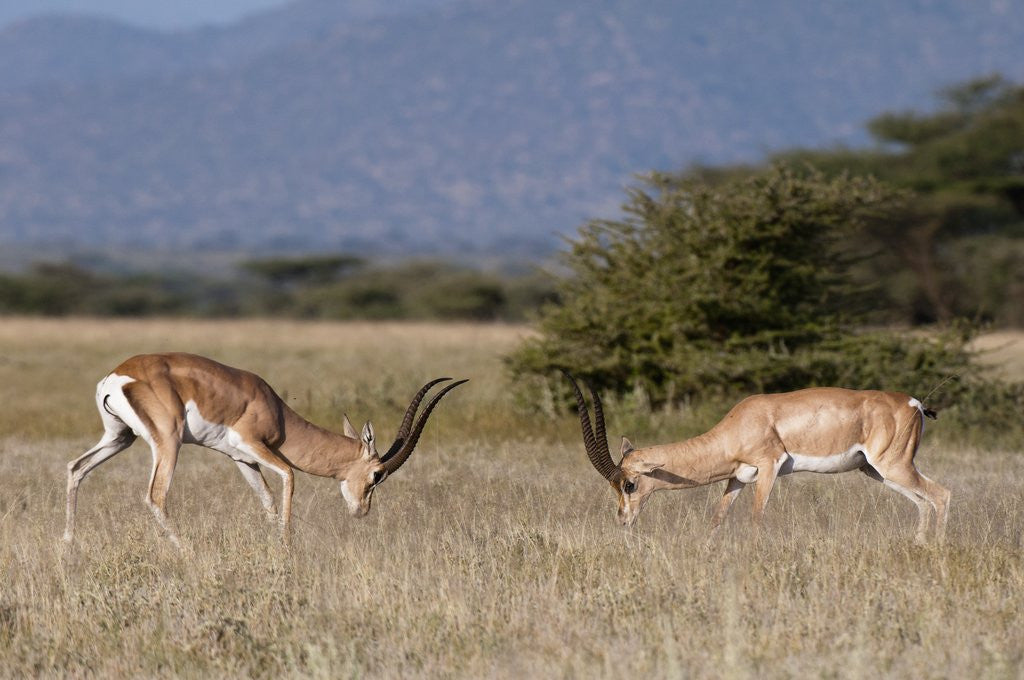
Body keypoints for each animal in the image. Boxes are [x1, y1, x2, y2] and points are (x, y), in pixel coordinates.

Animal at [64, 352, 466, 546]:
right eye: (377, 474)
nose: (361, 512)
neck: (276, 411)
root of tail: (118, 376)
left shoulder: (242, 459)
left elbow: (267, 501)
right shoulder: (251, 444)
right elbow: (289, 477)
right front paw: (287, 549)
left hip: (119, 437)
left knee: (75, 468)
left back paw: (68, 547)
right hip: (167, 442)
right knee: (155, 496)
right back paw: (188, 552)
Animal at [563, 373, 950, 543]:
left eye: (629, 484)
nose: (623, 521)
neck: (738, 425)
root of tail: (914, 403)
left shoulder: (769, 467)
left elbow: (756, 518)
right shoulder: (737, 478)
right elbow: (717, 519)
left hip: (893, 466)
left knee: (941, 494)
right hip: (876, 471)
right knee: (923, 501)